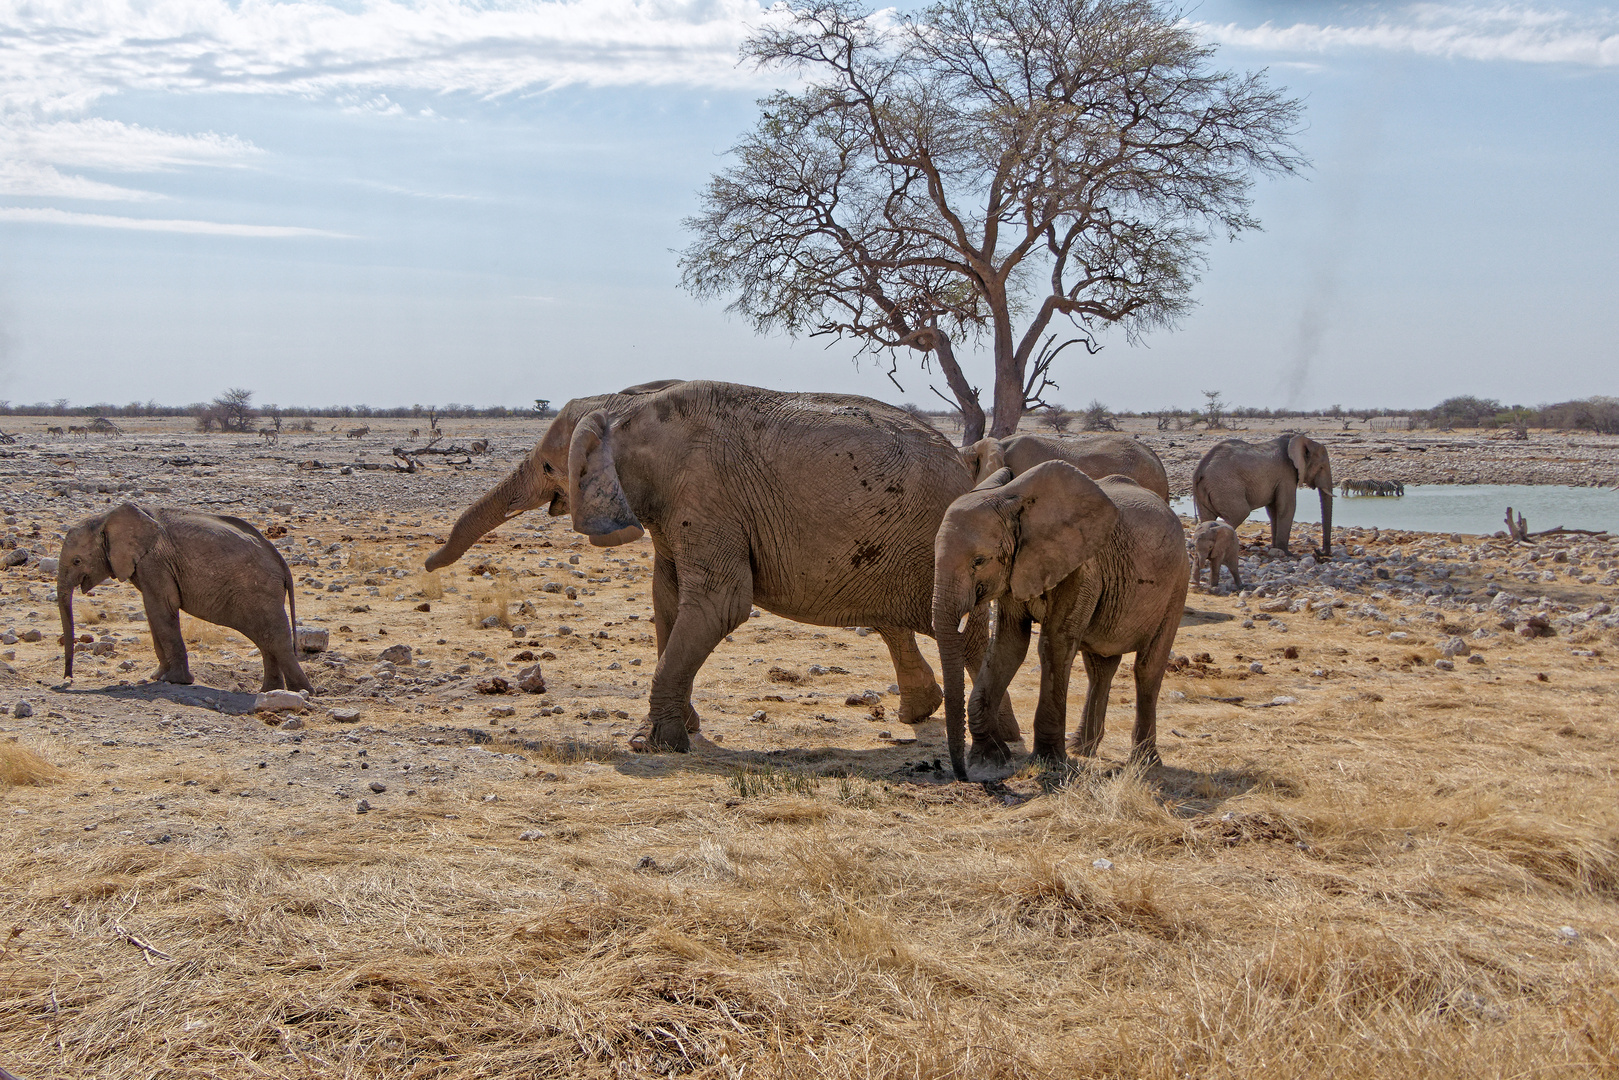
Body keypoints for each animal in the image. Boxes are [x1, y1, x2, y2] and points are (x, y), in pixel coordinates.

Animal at [58, 501, 310, 689]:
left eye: (77, 561)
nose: (68, 679)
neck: (105, 518)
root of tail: (282, 564)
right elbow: (153, 612)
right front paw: (157, 676)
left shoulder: (155, 561)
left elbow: (161, 608)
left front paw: (175, 680)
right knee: (265, 640)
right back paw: (270, 692)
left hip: (261, 591)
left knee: (276, 639)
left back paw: (302, 693)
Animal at [424, 383, 1016, 757]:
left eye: (551, 467)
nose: (429, 562)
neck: (625, 408)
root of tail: (962, 464)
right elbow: (667, 600)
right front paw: (680, 729)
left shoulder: (707, 497)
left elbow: (721, 603)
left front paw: (652, 743)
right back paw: (968, 727)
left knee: (957, 633)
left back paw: (995, 740)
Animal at [932, 459, 1185, 780]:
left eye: (979, 561)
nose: (961, 774)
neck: (1010, 499)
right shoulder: (1017, 568)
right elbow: (1008, 646)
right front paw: (989, 762)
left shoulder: (1083, 568)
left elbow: (1055, 645)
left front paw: (1048, 764)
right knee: (1100, 668)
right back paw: (1082, 749)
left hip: (1177, 585)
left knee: (1147, 669)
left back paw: (1144, 763)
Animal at [1185, 433, 1334, 557]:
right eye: (1321, 467)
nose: (1318, 551)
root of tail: (1199, 470)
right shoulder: (1286, 475)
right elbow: (1287, 507)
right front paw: (1287, 554)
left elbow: (1273, 510)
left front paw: (1275, 548)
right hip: (1225, 487)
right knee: (1239, 513)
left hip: (1206, 490)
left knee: (1207, 518)